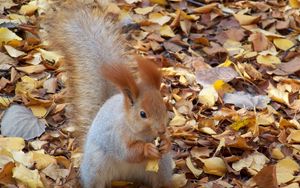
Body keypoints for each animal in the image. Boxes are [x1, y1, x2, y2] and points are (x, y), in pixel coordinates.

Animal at [43, 0, 172, 187]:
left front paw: (167, 143)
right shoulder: (116, 136)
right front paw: (148, 149)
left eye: (164, 107)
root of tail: (126, 176)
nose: (161, 130)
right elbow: (128, 152)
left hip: (163, 167)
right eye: (142, 114)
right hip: (97, 165)